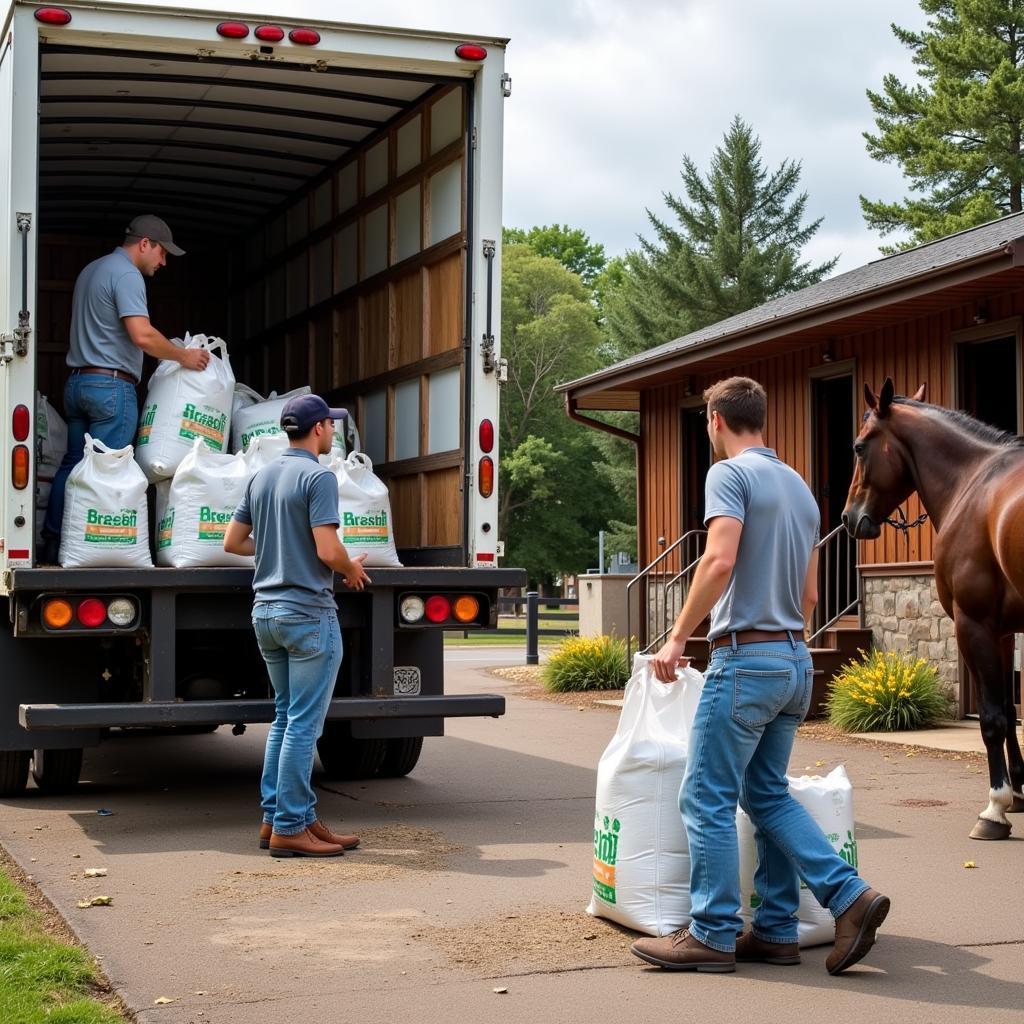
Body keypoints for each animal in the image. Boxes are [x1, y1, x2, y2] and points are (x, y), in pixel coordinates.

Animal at [843, 376, 1019, 839]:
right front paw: (1020, 792)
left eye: (859, 447)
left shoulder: (973, 624)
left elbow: (992, 717)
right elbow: (1010, 709)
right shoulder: (1004, 629)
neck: (974, 482)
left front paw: (996, 808)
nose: (849, 518)